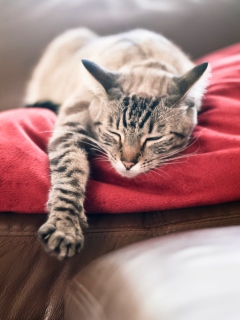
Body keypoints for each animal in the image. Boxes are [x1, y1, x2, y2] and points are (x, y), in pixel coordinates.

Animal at [25, 26, 210, 258]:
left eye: (154, 138)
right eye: (114, 133)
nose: (128, 163)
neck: (144, 61)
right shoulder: (69, 127)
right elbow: (69, 175)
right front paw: (64, 226)